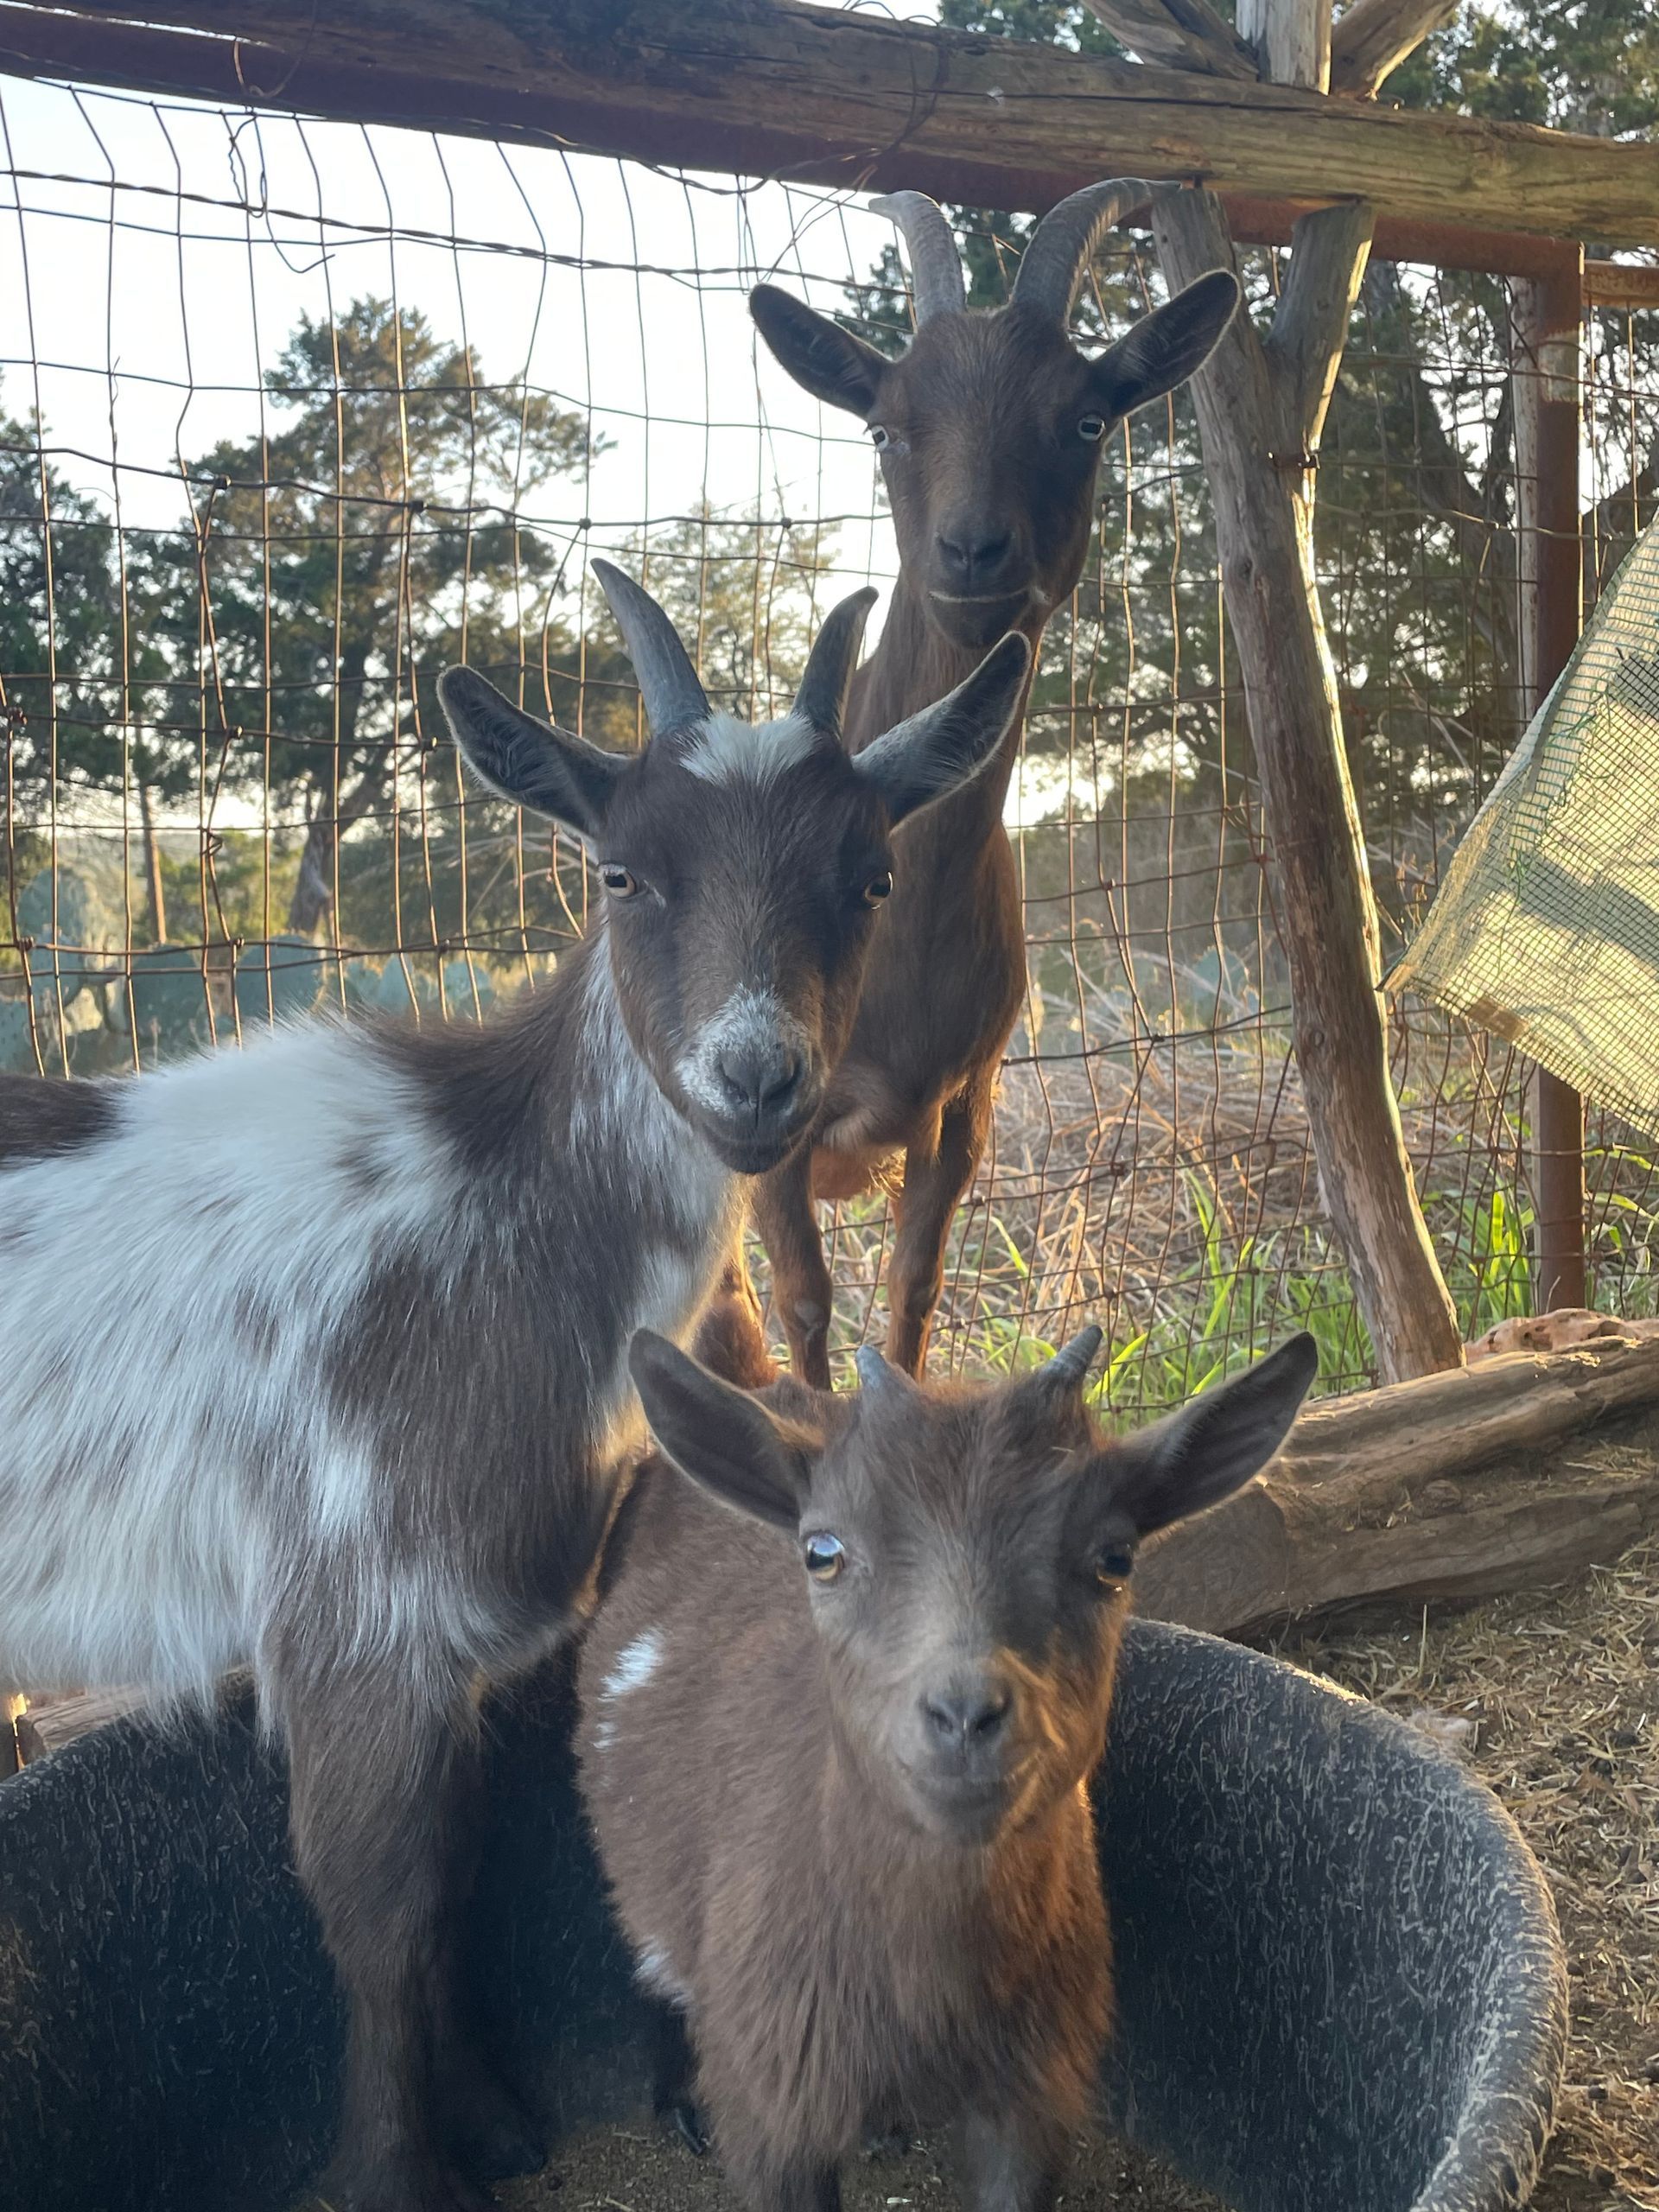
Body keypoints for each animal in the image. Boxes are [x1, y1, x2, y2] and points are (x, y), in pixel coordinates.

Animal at [0, 564, 1029, 2212]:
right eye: (618, 873)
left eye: (869, 876)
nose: (758, 1078)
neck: (490, 1214)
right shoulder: (354, 1619)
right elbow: (377, 1915)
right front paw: (399, 2174)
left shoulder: (460, 1647)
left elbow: (453, 1887)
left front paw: (489, 2123)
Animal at [579, 1324, 1318, 2212]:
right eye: (821, 1551)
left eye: (1115, 1558)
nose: (966, 1714)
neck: (931, 1989)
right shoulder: (773, 2098)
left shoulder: (1034, 2092)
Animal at [713, 182, 1240, 1386]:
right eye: (884, 424)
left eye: (1086, 420)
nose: (972, 552)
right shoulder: (772, 1130)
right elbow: (805, 1301)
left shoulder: (965, 1107)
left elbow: (912, 1293)